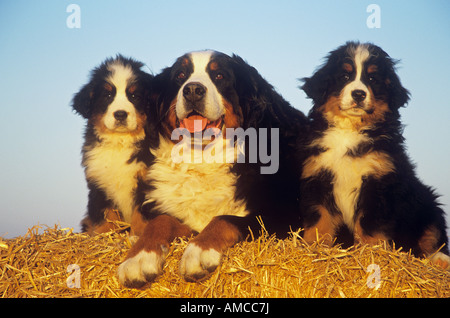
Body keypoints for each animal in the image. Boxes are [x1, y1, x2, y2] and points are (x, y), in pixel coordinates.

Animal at [71, 53, 153, 235]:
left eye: (134, 96)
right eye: (107, 96)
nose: (120, 114)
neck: (119, 142)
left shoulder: (146, 181)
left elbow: (141, 214)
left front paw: (140, 234)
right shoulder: (99, 182)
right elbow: (105, 214)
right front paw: (103, 233)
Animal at [116, 50, 308, 288]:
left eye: (219, 76)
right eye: (180, 75)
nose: (192, 90)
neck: (202, 158)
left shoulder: (285, 219)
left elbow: (224, 219)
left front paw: (199, 251)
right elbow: (160, 221)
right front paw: (139, 258)